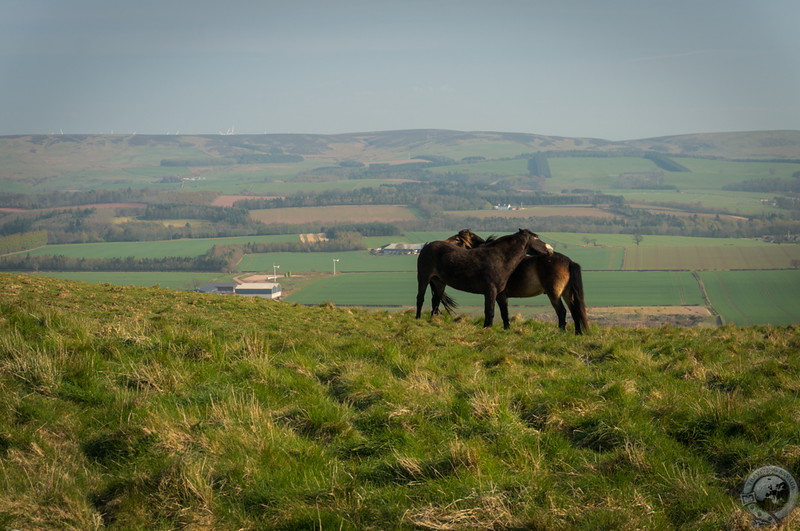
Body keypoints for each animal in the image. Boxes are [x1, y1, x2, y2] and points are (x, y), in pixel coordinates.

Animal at [416, 229, 552, 328]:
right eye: (536, 237)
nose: (550, 249)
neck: (499, 259)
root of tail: (426, 246)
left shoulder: (499, 293)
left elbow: (501, 312)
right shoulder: (490, 291)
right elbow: (490, 311)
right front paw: (487, 328)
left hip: (439, 282)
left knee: (435, 301)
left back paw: (433, 321)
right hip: (423, 278)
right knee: (420, 299)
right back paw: (417, 319)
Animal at [444, 230, 588, 336]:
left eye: (457, 239)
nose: (444, 243)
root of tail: (569, 261)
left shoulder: (499, 295)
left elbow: (502, 313)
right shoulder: (502, 296)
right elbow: (505, 313)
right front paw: (507, 330)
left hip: (554, 294)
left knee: (562, 312)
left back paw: (561, 332)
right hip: (567, 293)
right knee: (574, 311)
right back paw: (577, 333)